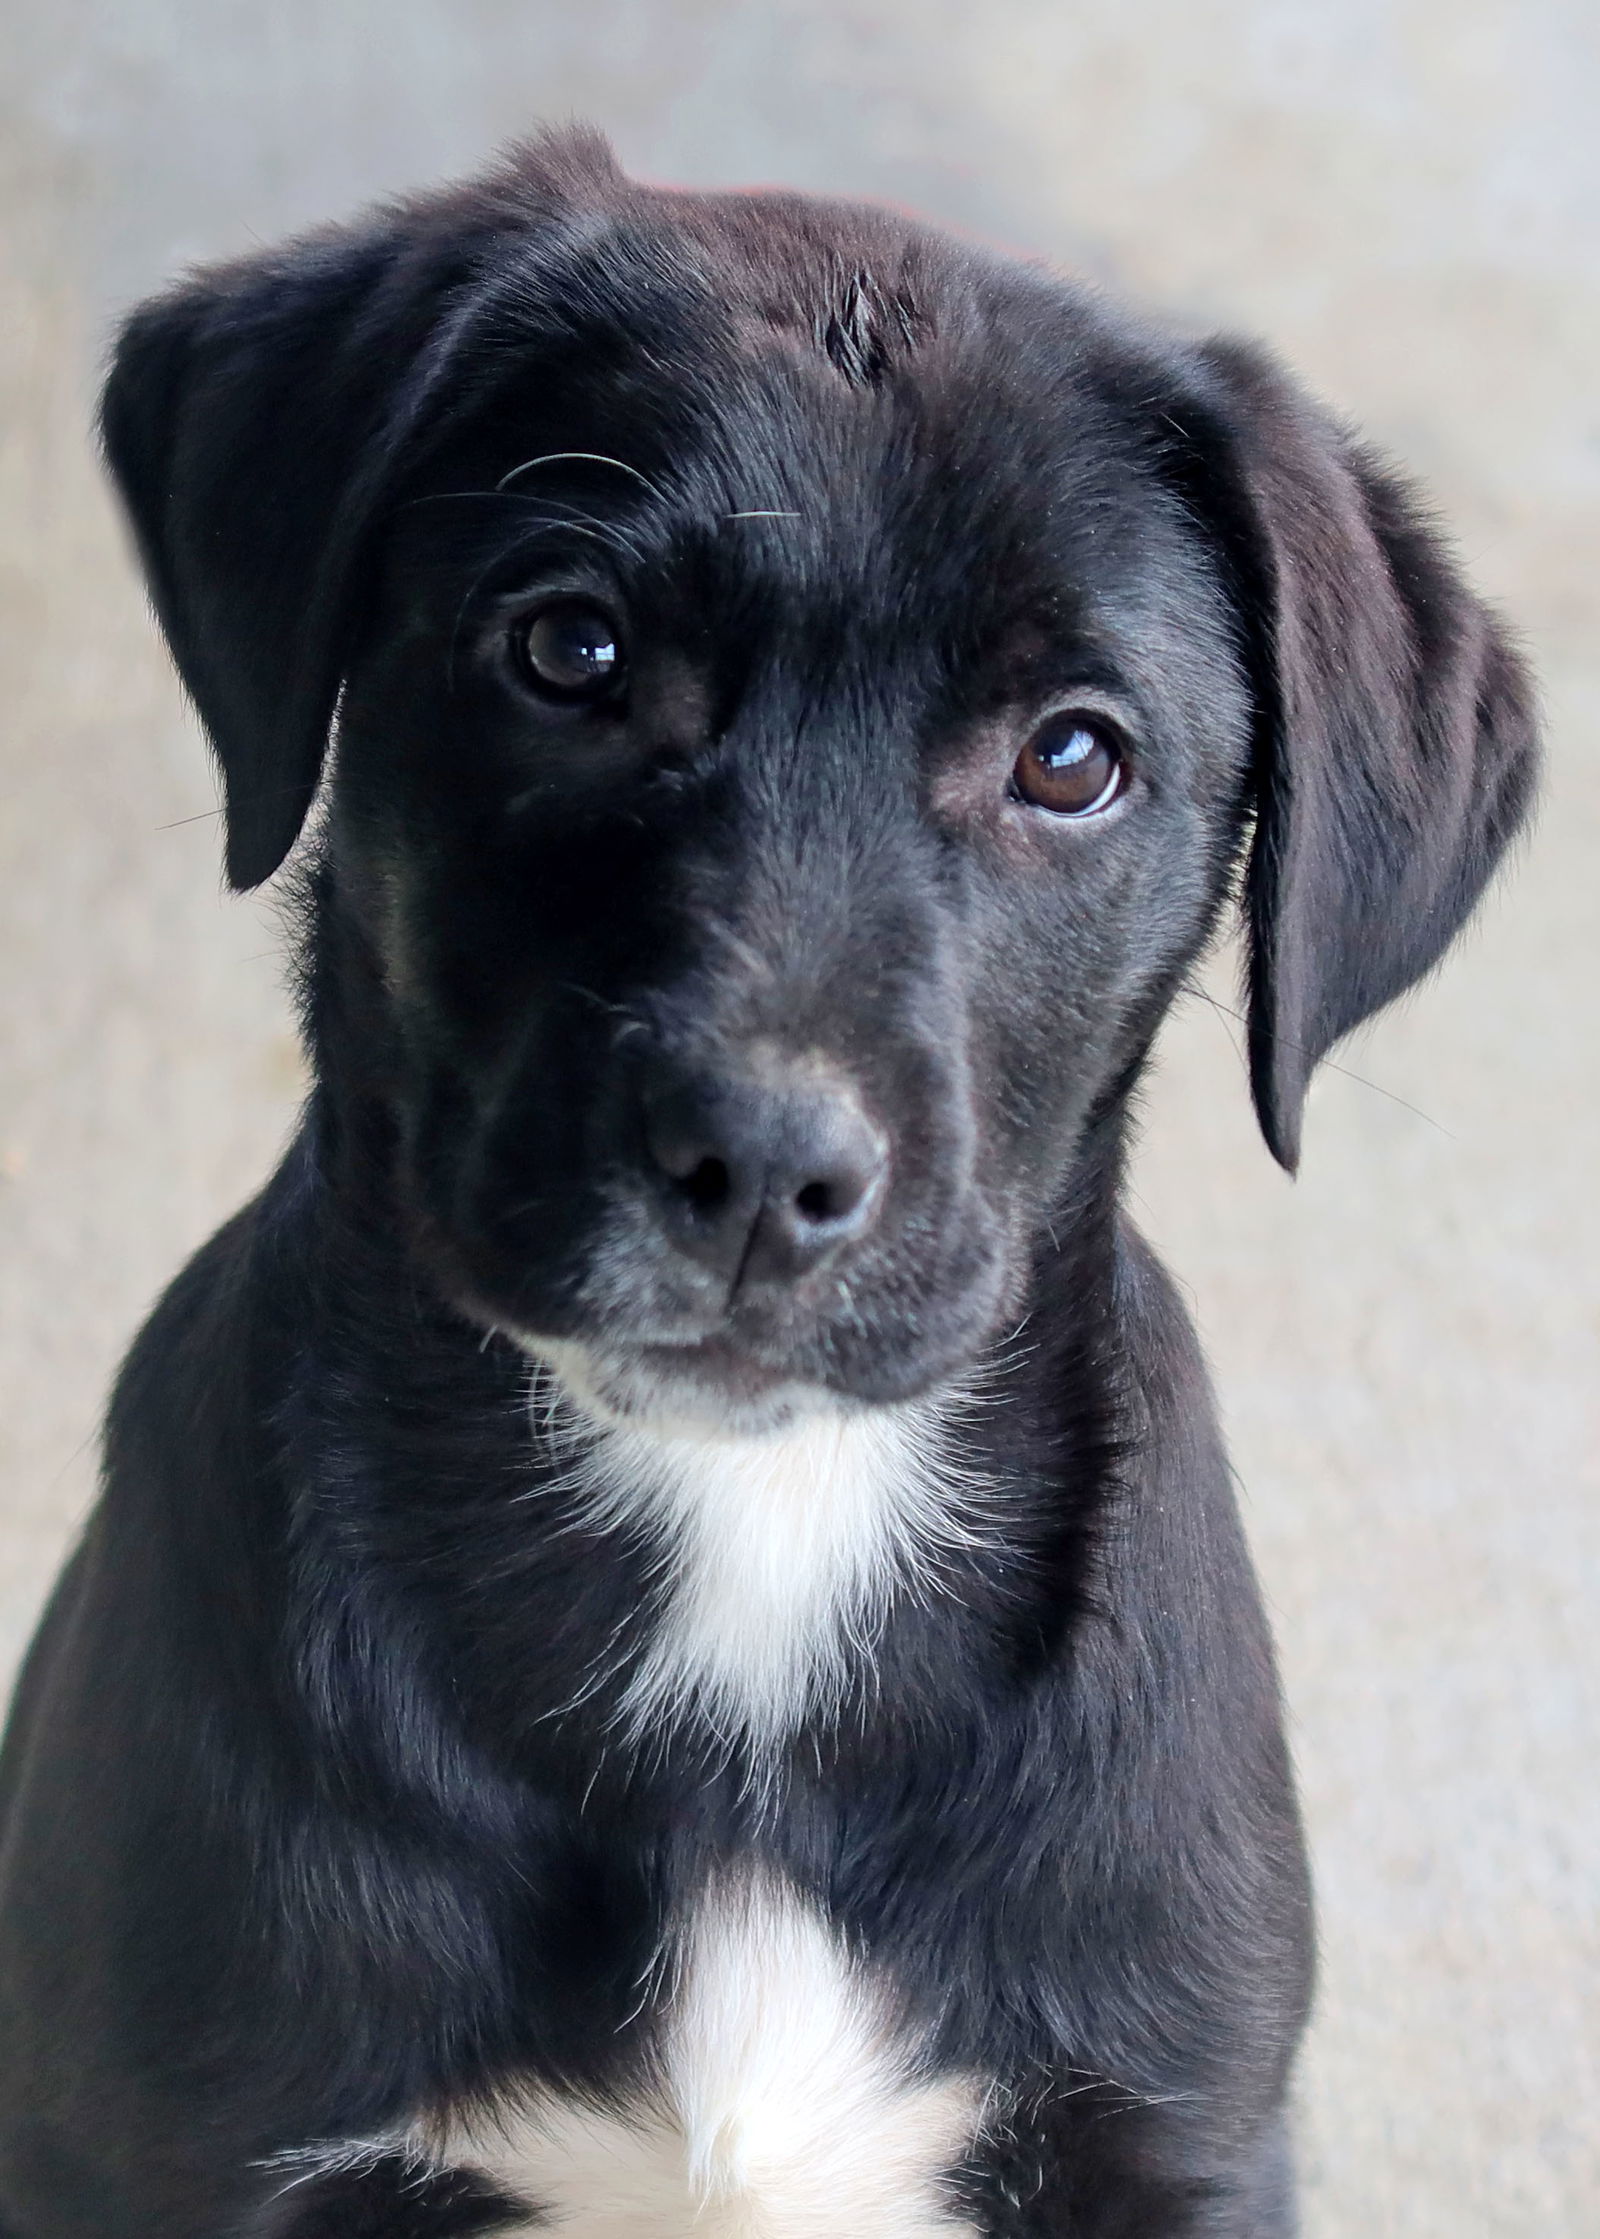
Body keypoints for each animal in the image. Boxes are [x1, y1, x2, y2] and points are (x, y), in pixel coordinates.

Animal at [0, 130, 1530, 2230]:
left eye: (1073, 758)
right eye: (570, 647)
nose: (759, 1167)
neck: (754, 1534)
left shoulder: (1179, 2133)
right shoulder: (167, 2143)